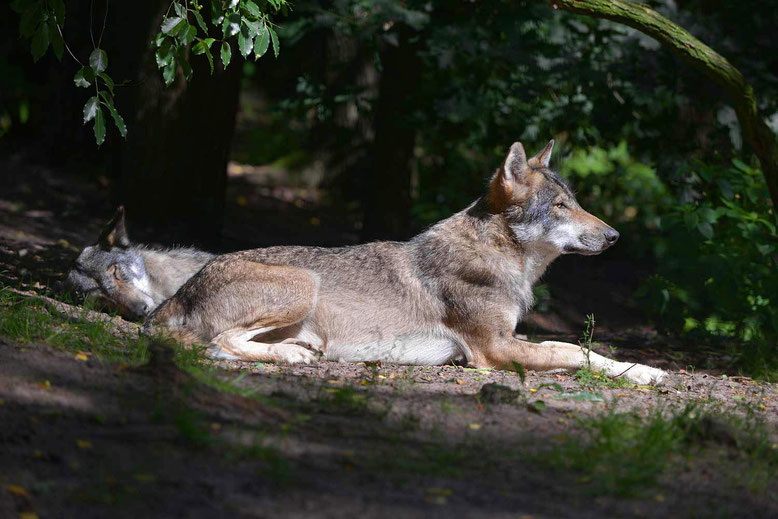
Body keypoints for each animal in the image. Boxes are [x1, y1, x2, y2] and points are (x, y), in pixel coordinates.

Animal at [147, 142, 668, 386]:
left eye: (575, 202)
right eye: (560, 206)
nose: (615, 236)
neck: (500, 260)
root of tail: (181, 291)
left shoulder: (509, 339)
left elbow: (571, 346)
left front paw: (642, 369)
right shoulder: (493, 351)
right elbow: (576, 351)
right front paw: (644, 373)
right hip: (303, 284)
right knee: (217, 344)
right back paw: (293, 357)